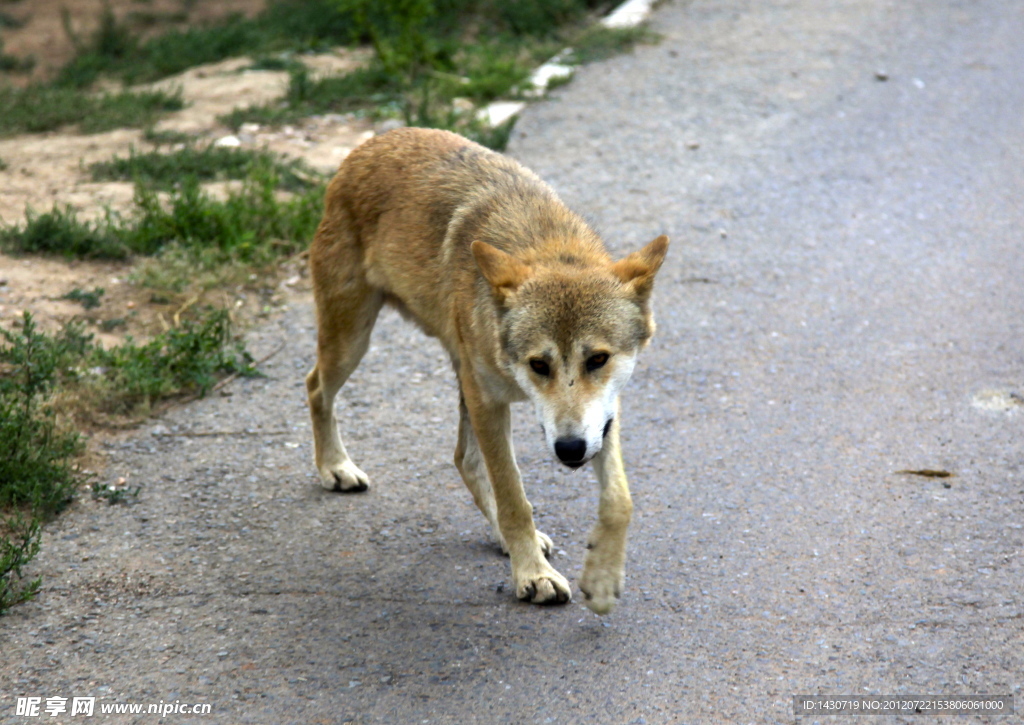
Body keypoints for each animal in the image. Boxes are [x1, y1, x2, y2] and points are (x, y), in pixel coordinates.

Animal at [307, 127, 667, 614]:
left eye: (597, 359)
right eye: (539, 364)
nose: (570, 450)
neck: (545, 242)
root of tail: (371, 143)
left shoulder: (603, 415)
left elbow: (619, 500)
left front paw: (603, 579)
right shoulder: (490, 403)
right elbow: (515, 497)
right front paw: (533, 575)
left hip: (450, 372)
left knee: (463, 457)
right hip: (352, 342)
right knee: (315, 388)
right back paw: (335, 467)